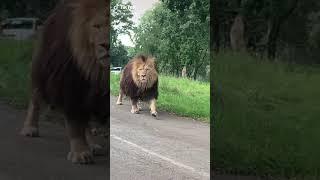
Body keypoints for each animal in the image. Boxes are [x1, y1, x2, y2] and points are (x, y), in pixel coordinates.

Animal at [20, 0, 110, 165]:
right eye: (97, 26)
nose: (106, 45)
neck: (98, 69)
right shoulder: (70, 84)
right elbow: (75, 124)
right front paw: (80, 153)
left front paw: (86, 148)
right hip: (40, 67)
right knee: (35, 99)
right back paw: (30, 129)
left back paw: (92, 145)